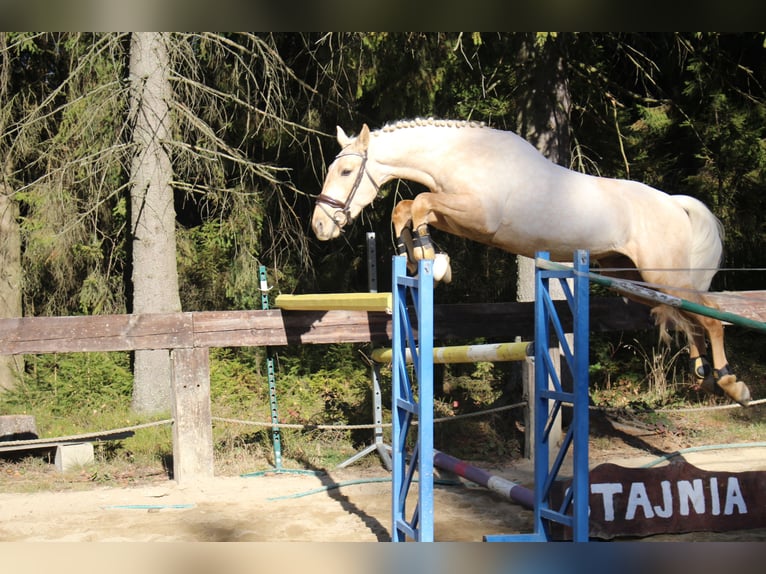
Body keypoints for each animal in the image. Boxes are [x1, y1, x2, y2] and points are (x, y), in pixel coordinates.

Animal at [314, 117, 756, 408]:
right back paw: (704, 375)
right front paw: (422, 256)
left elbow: (419, 203)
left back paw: (731, 383)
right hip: (636, 281)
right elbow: (406, 209)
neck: (461, 156)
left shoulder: (478, 217)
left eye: (347, 170)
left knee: (710, 315)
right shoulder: (458, 214)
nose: (320, 226)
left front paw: (432, 259)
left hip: (663, 276)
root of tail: (674, 204)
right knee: (687, 317)